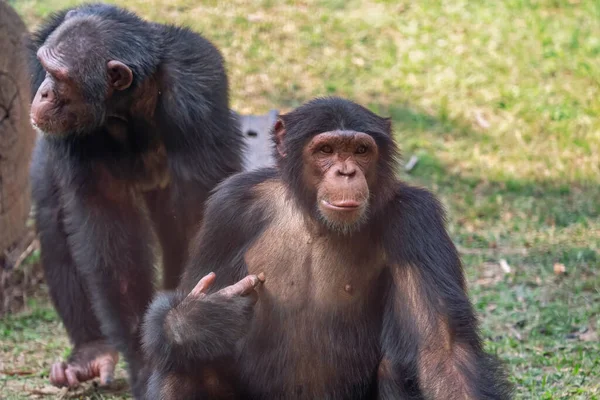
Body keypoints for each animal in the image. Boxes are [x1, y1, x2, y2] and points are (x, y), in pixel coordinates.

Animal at [28, 3, 244, 396]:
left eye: (59, 76)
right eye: (44, 68)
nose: (43, 93)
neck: (126, 102)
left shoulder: (197, 96)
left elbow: (198, 214)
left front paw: (192, 325)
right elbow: (110, 235)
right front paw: (146, 361)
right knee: (53, 214)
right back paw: (91, 352)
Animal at [141, 97, 510, 400]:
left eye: (361, 151)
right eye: (326, 151)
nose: (346, 172)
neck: (314, 221)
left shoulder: (418, 222)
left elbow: (442, 350)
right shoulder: (228, 210)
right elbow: (188, 295)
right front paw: (202, 318)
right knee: (183, 365)